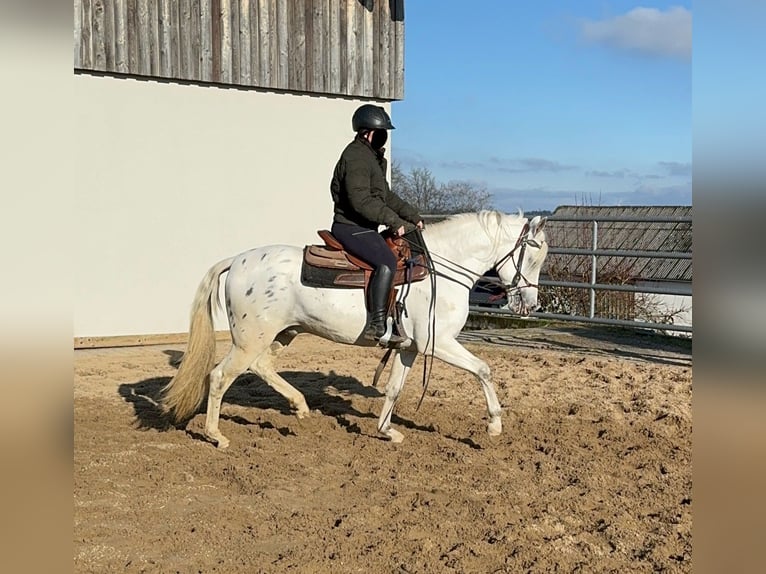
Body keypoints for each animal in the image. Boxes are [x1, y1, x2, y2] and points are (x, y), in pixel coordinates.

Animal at [162, 212, 548, 450]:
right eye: (533, 257)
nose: (529, 304)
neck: (441, 269)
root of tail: (238, 260)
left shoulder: (410, 348)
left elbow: (393, 389)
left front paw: (387, 431)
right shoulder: (438, 344)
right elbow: (484, 369)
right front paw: (494, 425)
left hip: (282, 334)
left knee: (261, 367)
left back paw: (300, 407)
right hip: (249, 339)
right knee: (220, 377)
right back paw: (216, 436)